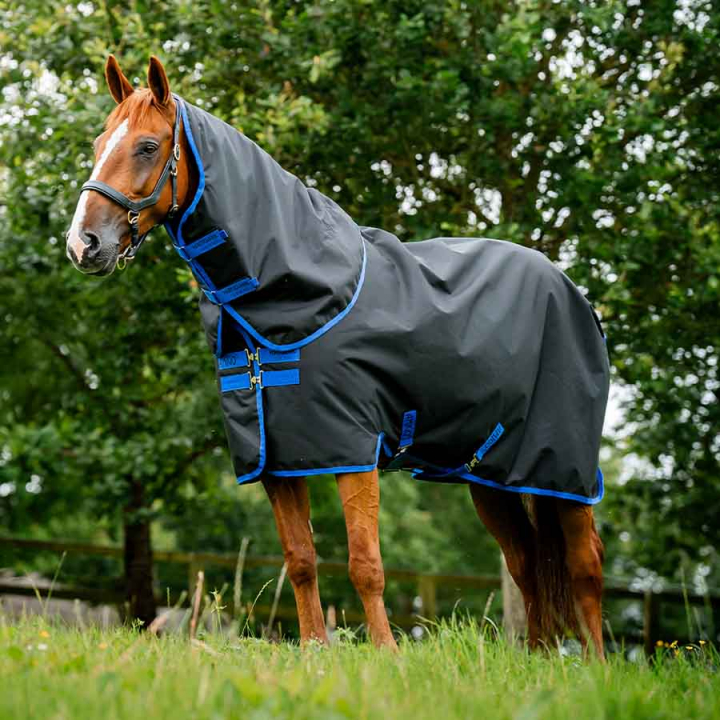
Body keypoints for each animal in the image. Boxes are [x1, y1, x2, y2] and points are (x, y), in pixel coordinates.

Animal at [66, 55, 608, 658]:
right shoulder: (278, 457)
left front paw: (386, 653)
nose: (83, 244)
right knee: (526, 561)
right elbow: (301, 560)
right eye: (98, 144)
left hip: (562, 466)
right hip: (494, 475)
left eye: (146, 146)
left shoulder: (352, 449)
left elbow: (365, 562)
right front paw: (315, 650)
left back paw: (596, 665)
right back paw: (539, 657)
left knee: (584, 564)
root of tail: (572, 291)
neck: (296, 289)